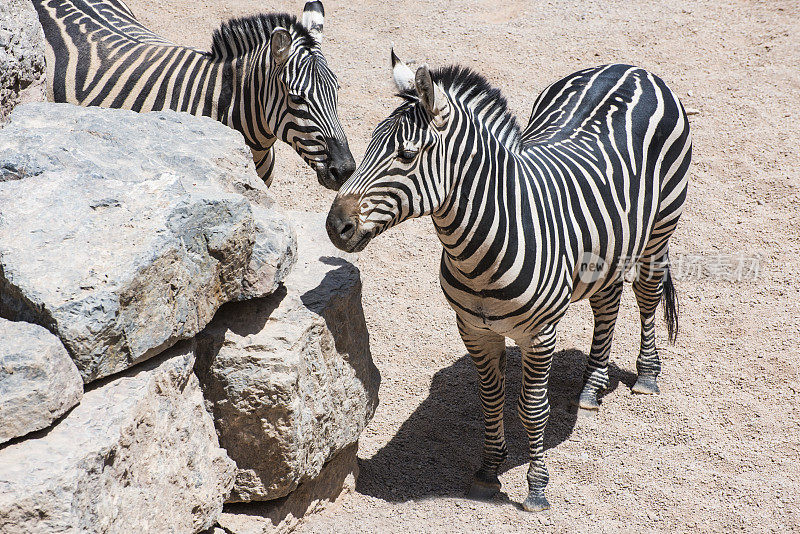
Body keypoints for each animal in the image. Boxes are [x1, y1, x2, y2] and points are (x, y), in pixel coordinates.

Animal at [324, 52, 688, 512]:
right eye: (370, 143)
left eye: (406, 155)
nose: (335, 226)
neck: (480, 251)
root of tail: (630, 67)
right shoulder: (473, 329)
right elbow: (490, 399)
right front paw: (487, 471)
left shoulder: (541, 334)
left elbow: (532, 409)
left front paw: (536, 489)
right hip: (607, 243)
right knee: (607, 302)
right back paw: (591, 387)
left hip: (661, 227)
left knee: (646, 294)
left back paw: (647, 375)